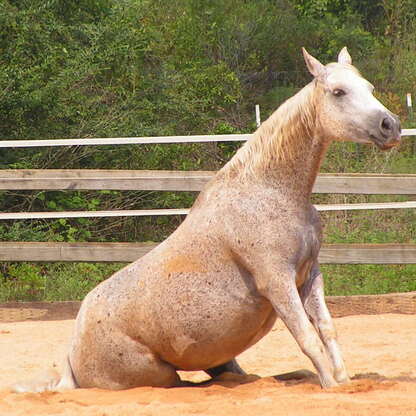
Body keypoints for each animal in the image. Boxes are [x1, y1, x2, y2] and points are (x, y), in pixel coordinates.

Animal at [14, 47, 402, 392]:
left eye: (368, 87)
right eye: (338, 92)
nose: (391, 126)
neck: (270, 192)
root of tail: (72, 354)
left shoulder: (310, 276)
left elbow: (326, 328)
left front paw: (344, 381)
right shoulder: (277, 281)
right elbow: (306, 336)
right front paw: (331, 386)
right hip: (158, 375)